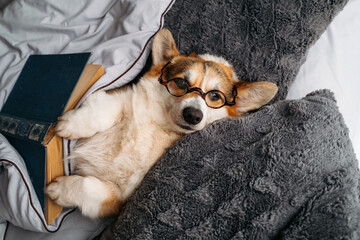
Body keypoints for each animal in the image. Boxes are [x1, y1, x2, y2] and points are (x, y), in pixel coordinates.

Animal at [45, 29, 278, 218]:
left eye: (214, 97)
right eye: (181, 83)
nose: (193, 115)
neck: (160, 126)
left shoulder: (119, 196)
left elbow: (88, 187)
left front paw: (60, 189)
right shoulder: (120, 99)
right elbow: (101, 112)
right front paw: (71, 124)